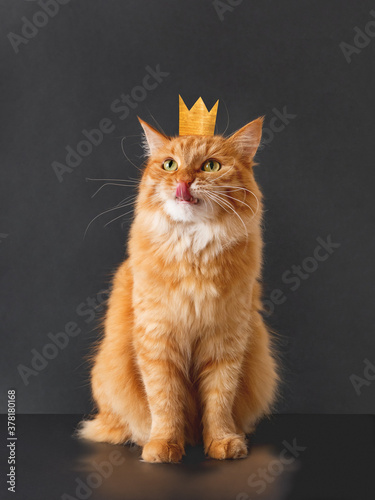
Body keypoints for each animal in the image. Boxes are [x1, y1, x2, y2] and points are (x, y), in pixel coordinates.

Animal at [78, 114, 280, 464]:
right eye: (170, 165)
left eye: (211, 166)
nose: (183, 182)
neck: (194, 251)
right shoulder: (158, 342)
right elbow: (165, 402)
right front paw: (164, 446)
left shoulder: (225, 343)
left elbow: (219, 402)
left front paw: (223, 442)